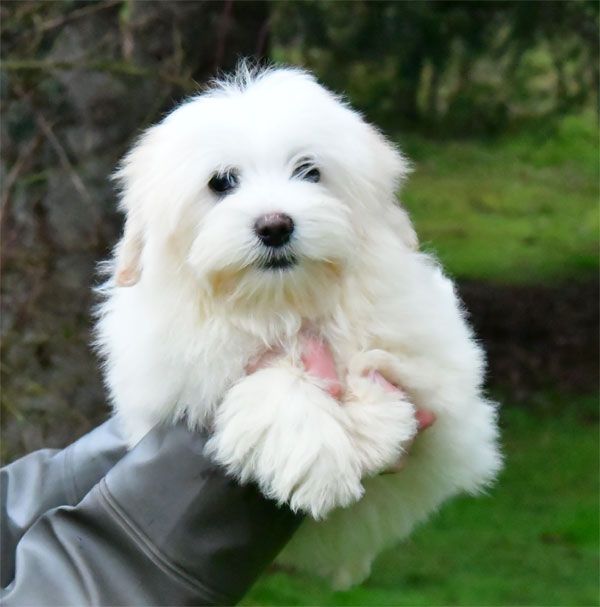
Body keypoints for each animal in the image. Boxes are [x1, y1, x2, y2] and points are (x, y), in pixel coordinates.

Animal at [96, 65, 502, 588]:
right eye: (221, 183)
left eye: (309, 171)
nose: (275, 225)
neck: (281, 302)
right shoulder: (175, 376)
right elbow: (270, 375)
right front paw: (320, 456)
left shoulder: (434, 351)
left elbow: (383, 361)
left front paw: (372, 423)